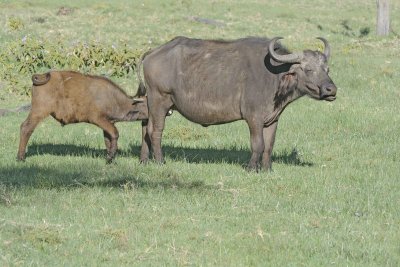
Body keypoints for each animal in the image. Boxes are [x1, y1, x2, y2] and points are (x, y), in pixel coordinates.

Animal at [16, 71, 148, 163]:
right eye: (147, 104)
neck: (113, 98)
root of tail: (42, 76)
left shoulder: (108, 123)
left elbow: (108, 140)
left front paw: (111, 158)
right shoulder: (99, 119)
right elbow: (115, 134)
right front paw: (110, 158)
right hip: (39, 111)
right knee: (26, 128)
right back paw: (20, 158)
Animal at [138, 36, 338, 172]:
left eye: (326, 69)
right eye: (308, 69)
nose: (331, 90)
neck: (274, 77)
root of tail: (152, 53)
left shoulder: (273, 119)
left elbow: (269, 144)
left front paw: (267, 169)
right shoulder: (253, 118)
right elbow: (258, 143)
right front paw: (252, 168)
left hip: (149, 103)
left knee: (145, 127)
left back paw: (144, 160)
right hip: (159, 100)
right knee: (155, 131)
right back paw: (160, 161)